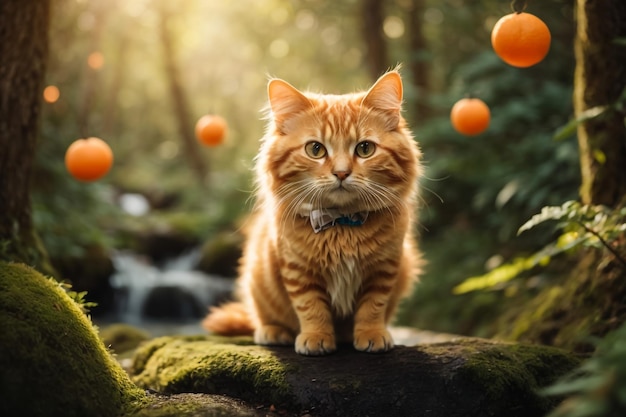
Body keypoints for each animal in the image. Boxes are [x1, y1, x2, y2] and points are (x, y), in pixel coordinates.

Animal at [202, 70, 422, 356]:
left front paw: (371, 334)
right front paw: (316, 338)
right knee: (262, 317)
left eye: (365, 149)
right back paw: (273, 332)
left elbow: (373, 307)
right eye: (315, 150)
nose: (341, 172)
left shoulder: (385, 268)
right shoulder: (298, 270)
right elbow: (312, 308)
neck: (341, 222)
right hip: (257, 279)